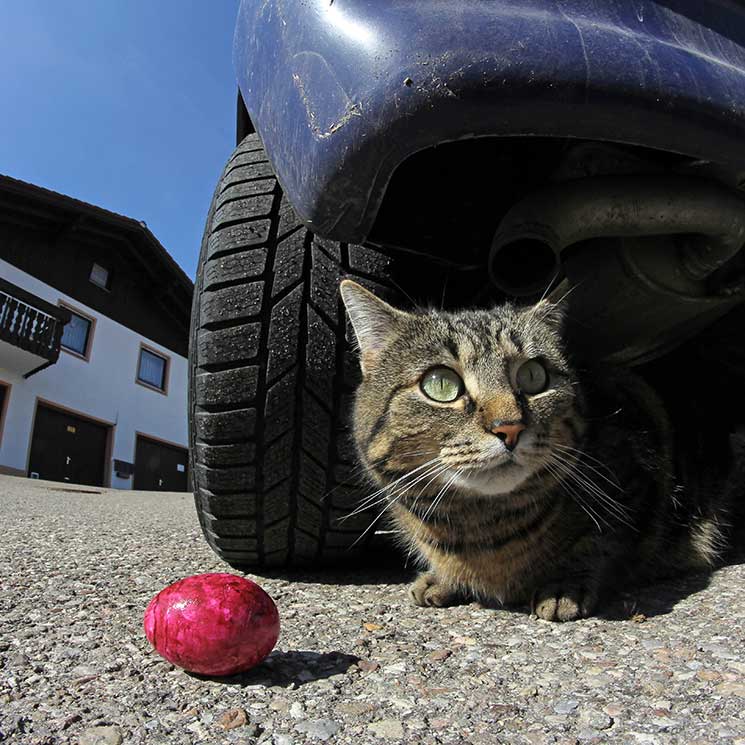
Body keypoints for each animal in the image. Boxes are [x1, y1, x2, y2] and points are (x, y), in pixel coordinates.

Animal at [340, 276, 740, 620]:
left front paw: (564, 584)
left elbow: (601, 541)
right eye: (441, 384)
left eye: (533, 376)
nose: (509, 427)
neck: (482, 528)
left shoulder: (639, 477)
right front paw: (443, 578)